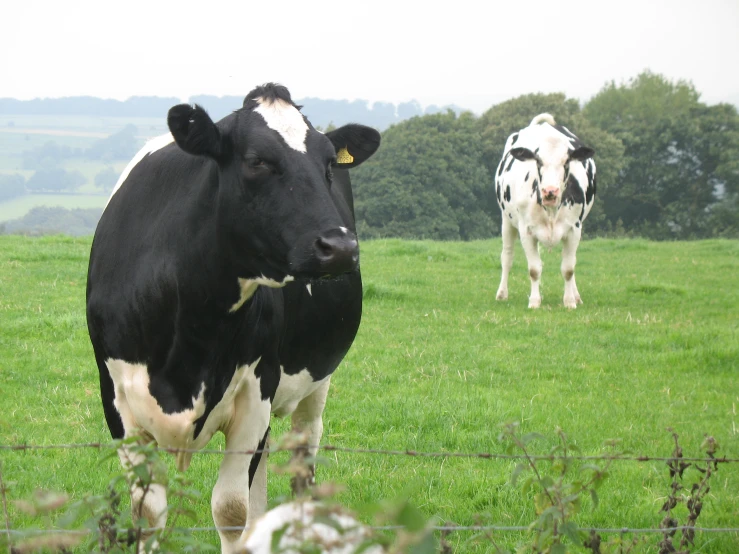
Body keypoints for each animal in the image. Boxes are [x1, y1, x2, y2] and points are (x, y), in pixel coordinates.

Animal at [86, 83, 382, 552]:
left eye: (328, 164)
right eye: (257, 161)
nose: (340, 247)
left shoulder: (256, 390)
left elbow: (230, 511)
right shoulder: (117, 399)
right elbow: (147, 514)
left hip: (314, 384)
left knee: (302, 462)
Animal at [494, 112, 600, 308]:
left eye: (567, 162)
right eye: (538, 161)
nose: (550, 191)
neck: (551, 210)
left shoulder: (574, 229)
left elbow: (569, 268)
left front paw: (569, 302)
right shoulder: (526, 230)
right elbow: (534, 269)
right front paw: (535, 302)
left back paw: (576, 296)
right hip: (506, 219)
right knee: (507, 256)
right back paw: (502, 294)